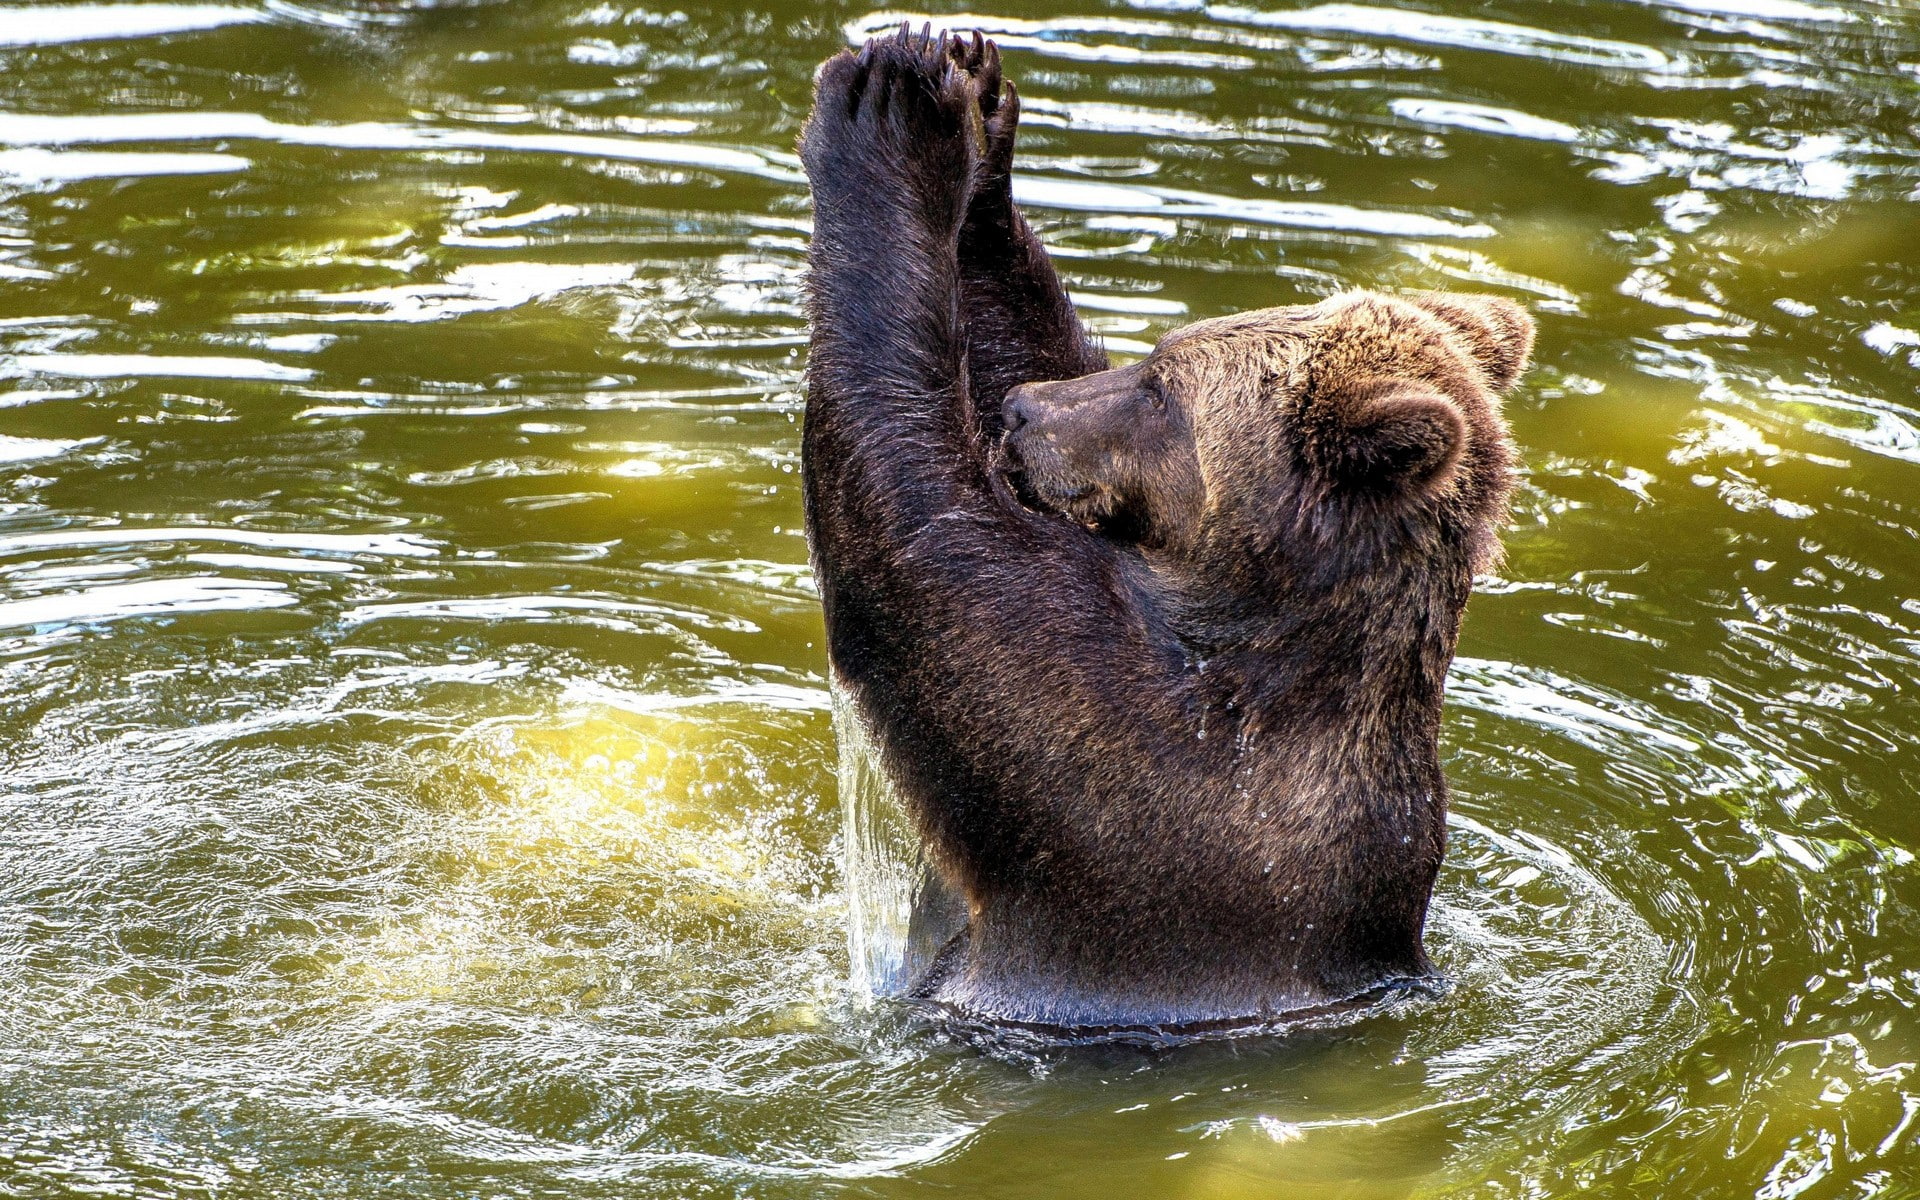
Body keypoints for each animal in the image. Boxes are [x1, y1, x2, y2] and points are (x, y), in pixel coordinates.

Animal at [798, 27, 1533, 1038]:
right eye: (1150, 357)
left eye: (1161, 391)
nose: (1024, 412)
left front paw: (894, 115)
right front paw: (979, 113)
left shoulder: (1123, 769)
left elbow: (917, 533)